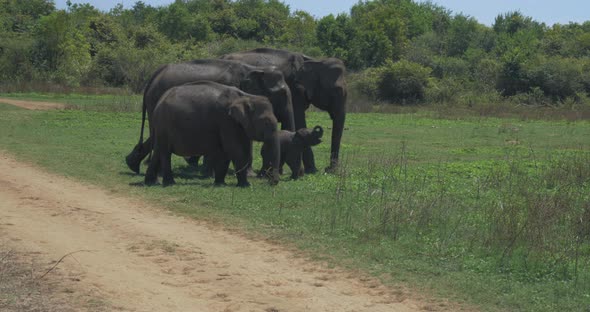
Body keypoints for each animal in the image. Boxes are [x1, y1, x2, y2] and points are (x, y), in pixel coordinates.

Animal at [125, 58, 294, 174]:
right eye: (282, 94)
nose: (281, 173)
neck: (254, 68)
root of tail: (154, 76)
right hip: (156, 101)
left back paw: (133, 165)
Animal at [145, 81, 280, 188]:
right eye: (266, 122)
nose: (271, 183)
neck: (247, 96)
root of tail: (159, 101)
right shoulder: (226, 120)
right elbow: (234, 149)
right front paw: (246, 185)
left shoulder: (237, 125)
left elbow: (230, 152)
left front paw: (221, 184)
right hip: (164, 125)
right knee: (165, 153)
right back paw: (169, 183)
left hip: (160, 128)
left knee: (158, 150)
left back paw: (151, 182)